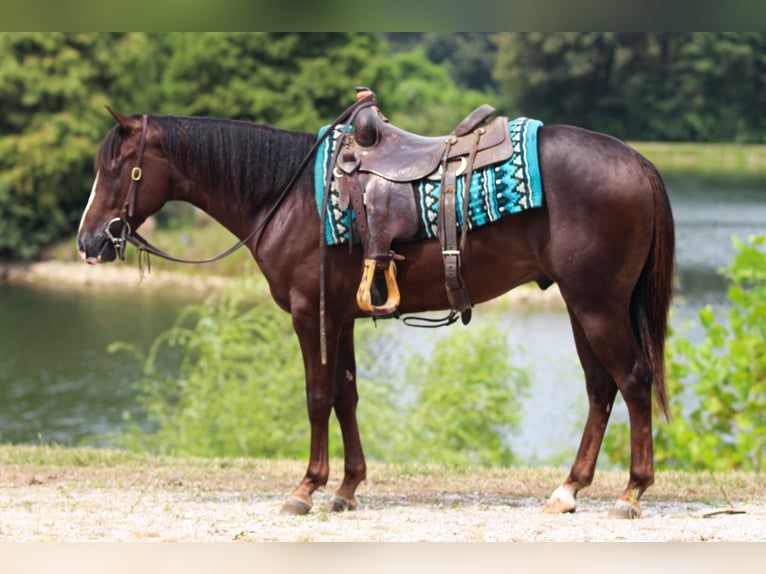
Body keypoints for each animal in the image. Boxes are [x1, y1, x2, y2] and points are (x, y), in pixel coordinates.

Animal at [76, 105, 674, 519]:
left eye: (118, 169)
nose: (88, 241)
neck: (287, 197)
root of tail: (638, 161)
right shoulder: (340, 317)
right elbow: (346, 395)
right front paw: (346, 488)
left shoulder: (309, 314)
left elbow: (317, 397)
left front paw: (306, 488)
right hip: (581, 305)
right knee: (601, 388)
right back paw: (569, 489)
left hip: (597, 305)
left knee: (633, 379)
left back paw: (631, 492)